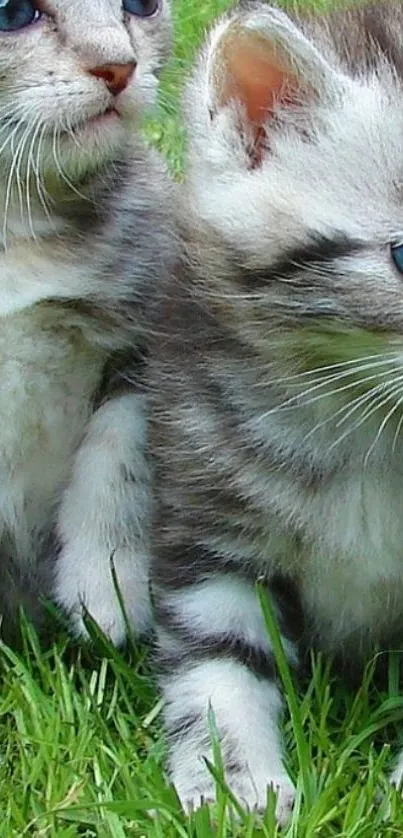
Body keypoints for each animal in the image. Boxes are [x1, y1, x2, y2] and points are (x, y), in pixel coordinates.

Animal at [0, 0, 177, 648]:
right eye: (12, 13)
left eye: (140, 5)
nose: (120, 66)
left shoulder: (151, 334)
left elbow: (117, 456)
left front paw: (109, 586)